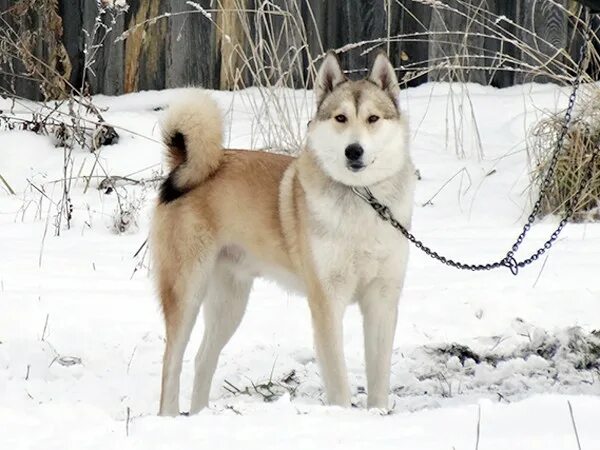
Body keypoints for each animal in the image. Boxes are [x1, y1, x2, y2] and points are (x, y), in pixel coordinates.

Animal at [151, 51, 412, 414]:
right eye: (341, 118)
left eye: (373, 118)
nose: (354, 150)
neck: (361, 200)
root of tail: (184, 164)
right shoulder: (326, 301)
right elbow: (339, 381)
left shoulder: (383, 299)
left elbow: (379, 378)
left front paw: (378, 414)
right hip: (186, 291)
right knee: (171, 364)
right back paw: (169, 416)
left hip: (230, 302)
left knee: (203, 359)